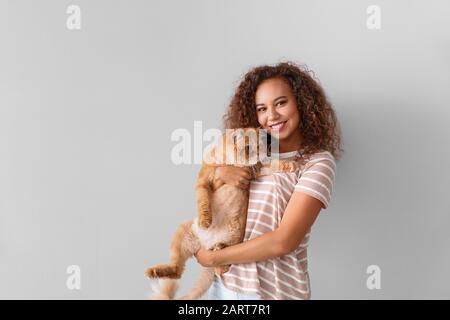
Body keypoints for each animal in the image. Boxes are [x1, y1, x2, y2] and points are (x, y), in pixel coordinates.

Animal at [144, 127, 298, 300]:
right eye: (248, 148)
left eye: (260, 146)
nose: (261, 153)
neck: (230, 163)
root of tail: (205, 245)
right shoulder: (204, 181)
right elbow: (204, 203)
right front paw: (205, 222)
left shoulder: (257, 169)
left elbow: (274, 164)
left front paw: (292, 164)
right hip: (182, 234)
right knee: (177, 269)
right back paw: (153, 271)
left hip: (233, 243)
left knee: (219, 263)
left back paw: (218, 252)